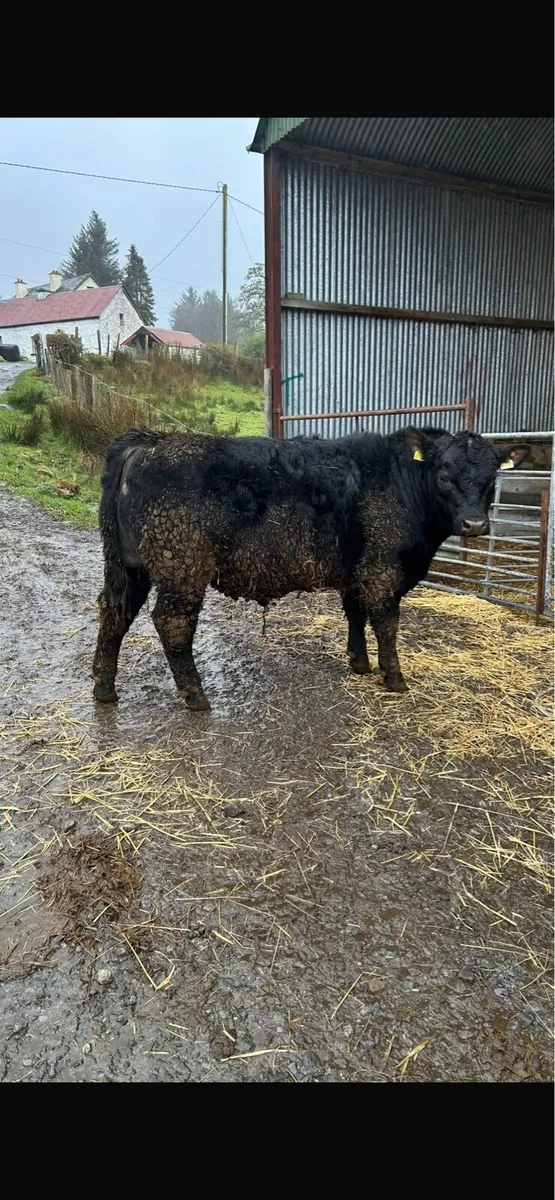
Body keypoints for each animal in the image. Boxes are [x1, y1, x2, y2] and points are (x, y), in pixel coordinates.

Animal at [92, 426, 531, 711]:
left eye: (491, 477)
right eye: (444, 476)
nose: (474, 524)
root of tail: (149, 441)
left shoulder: (356, 570)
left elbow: (355, 614)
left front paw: (359, 663)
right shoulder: (383, 571)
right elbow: (386, 623)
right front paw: (394, 678)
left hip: (128, 566)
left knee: (115, 614)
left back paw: (104, 689)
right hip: (181, 566)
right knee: (172, 623)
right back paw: (196, 696)